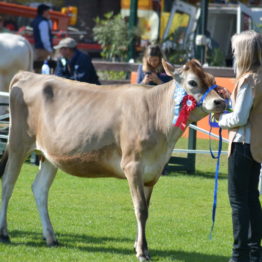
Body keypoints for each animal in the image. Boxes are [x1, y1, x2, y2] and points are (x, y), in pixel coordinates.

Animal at [0, 59, 225, 260]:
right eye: (193, 82)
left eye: (212, 79)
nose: (220, 101)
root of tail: (28, 75)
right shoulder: (133, 165)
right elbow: (140, 209)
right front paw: (142, 251)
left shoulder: (153, 171)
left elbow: (146, 208)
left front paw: (138, 245)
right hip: (18, 144)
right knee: (8, 185)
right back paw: (4, 233)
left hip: (49, 155)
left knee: (39, 189)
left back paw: (51, 237)